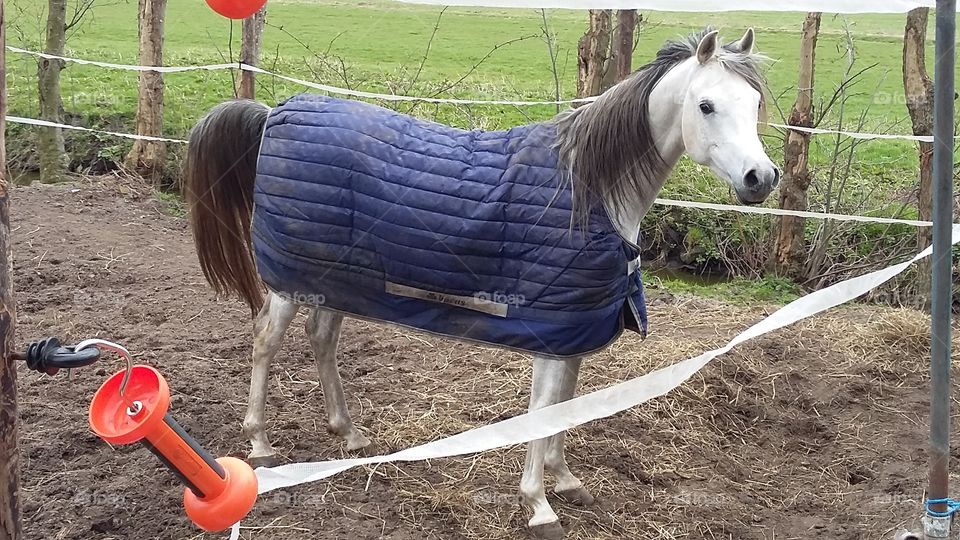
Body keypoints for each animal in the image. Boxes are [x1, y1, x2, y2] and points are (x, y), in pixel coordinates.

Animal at [183, 28, 779, 539]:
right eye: (706, 105)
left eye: (754, 104)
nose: (761, 179)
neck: (587, 192)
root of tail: (272, 113)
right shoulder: (548, 334)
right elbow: (542, 414)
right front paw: (539, 506)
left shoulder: (572, 333)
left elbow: (563, 408)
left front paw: (567, 483)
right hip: (290, 283)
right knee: (266, 341)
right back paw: (260, 444)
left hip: (337, 281)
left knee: (321, 338)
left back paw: (348, 433)